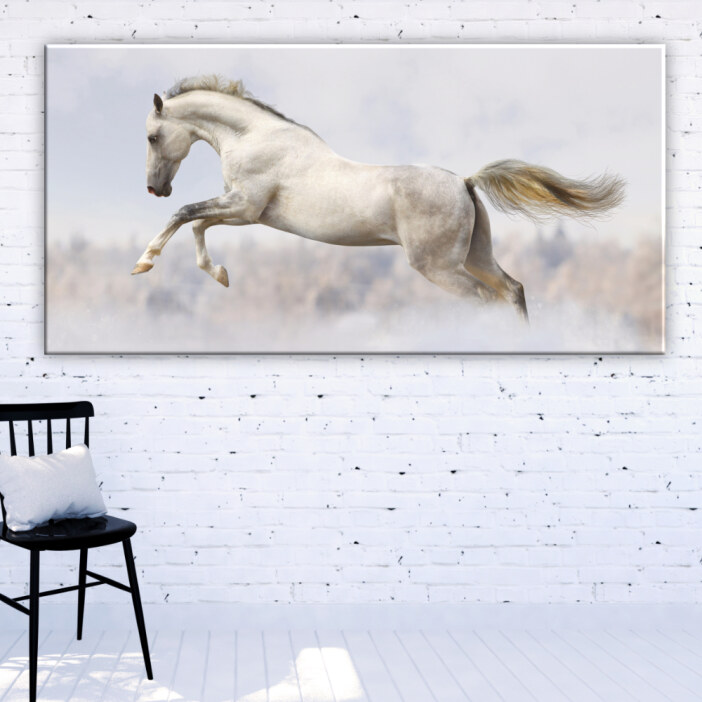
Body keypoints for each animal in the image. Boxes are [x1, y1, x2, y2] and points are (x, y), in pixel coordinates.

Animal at [135, 75, 625, 321]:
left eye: (153, 136)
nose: (155, 188)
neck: (256, 137)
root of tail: (465, 182)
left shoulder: (245, 205)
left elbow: (184, 215)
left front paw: (143, 263)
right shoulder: (246, 212)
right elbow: (197, 223)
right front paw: (220, 275)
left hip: (438, 266)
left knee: (486, 300)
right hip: (475, 256)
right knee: (512, 291)